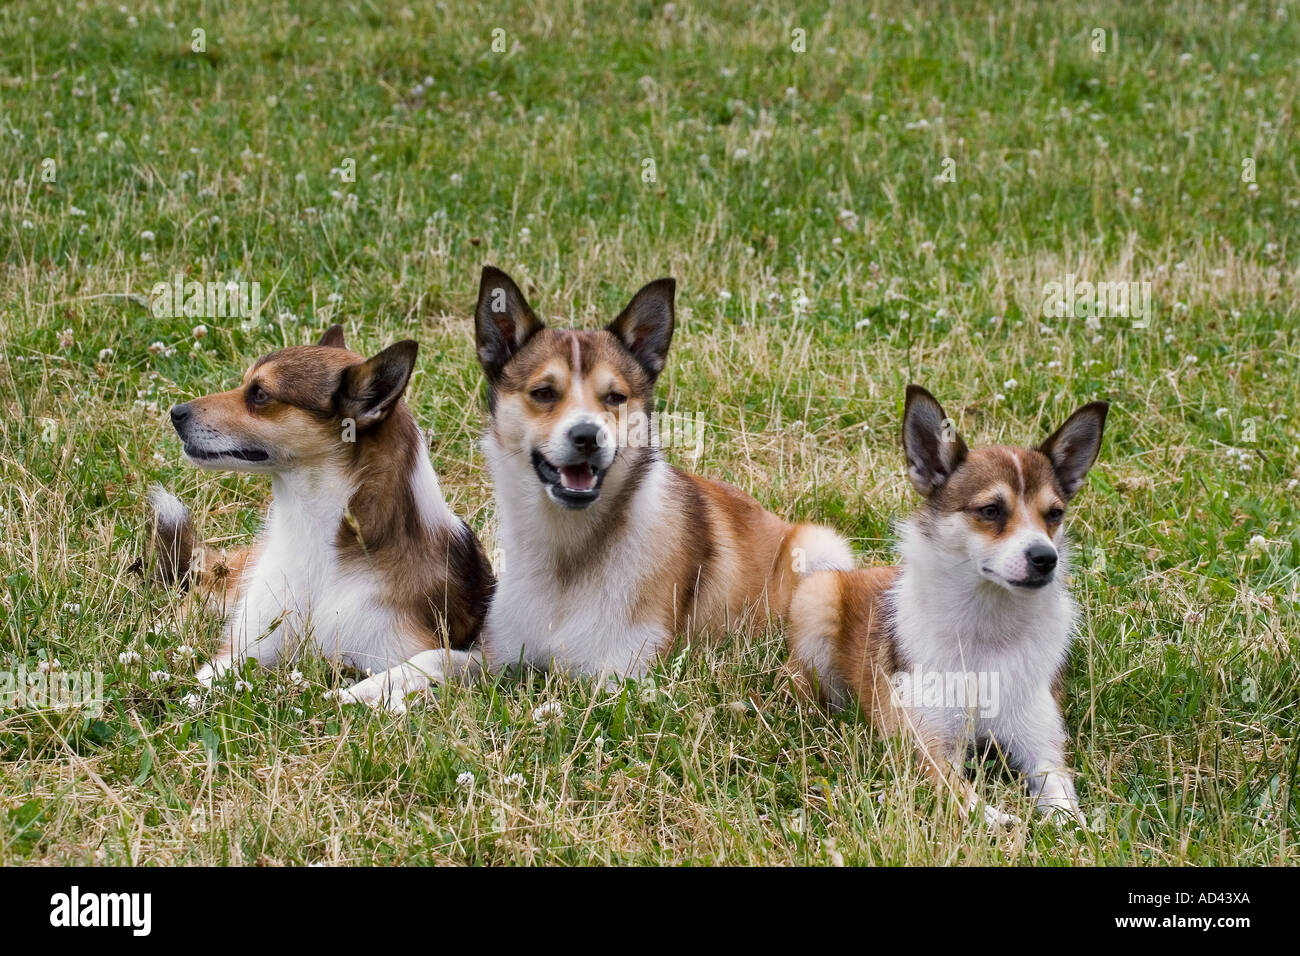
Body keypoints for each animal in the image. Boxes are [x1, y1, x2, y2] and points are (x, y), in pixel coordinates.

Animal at [149, 325, 493, 691]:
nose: (175, 413)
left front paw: (361, 694)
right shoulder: (241, 651)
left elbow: (415, 667)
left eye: (260, 394)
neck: (312, 532)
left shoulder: (404, 649)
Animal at [338, 265, 852, 707]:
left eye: (615, 397)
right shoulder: (498, 654)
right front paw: (369, 689)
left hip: (821, 549)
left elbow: (568, 692)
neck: (570, 554)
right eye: (544, 392)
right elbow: (434, 657)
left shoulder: (625, 676)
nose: (588, 436)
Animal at [780, 385, 1107, 827]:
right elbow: (964, 799)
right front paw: (1000, 822)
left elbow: (1063, 802)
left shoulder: (1041, 745)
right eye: (991, 510)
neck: (987, 628)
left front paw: (1069, 826)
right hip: (818, 599)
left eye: (1054, 514)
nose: (1045, 558)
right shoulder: (929, 746)